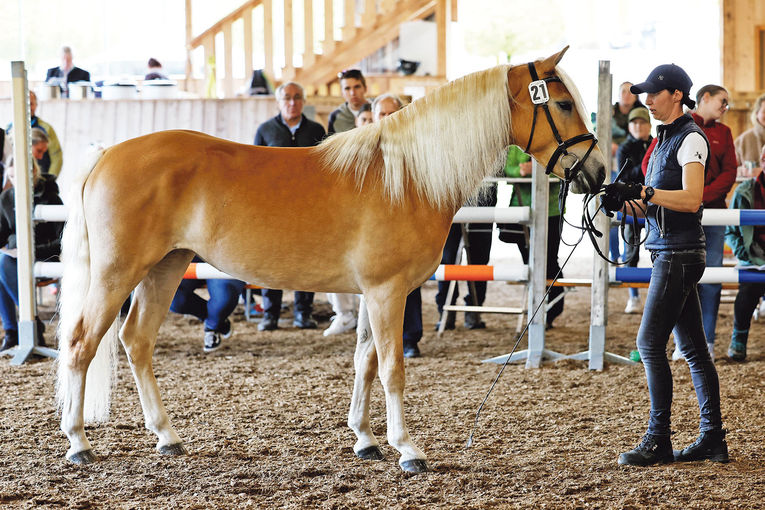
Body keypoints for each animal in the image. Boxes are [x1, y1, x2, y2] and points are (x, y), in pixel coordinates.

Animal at [55, 45, 604, 472]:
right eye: (561, 102)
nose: (597, 172)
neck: (406, 175)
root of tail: (106, 155)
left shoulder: (374, 295)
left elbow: (364, 361)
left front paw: (365, 440)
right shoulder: (387, 293)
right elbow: (392, 368)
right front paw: (407, 449)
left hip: (165, 267)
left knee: (136, 341)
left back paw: (167, 437)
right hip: (118, 273)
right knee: (82, 343)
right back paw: (79, 443)